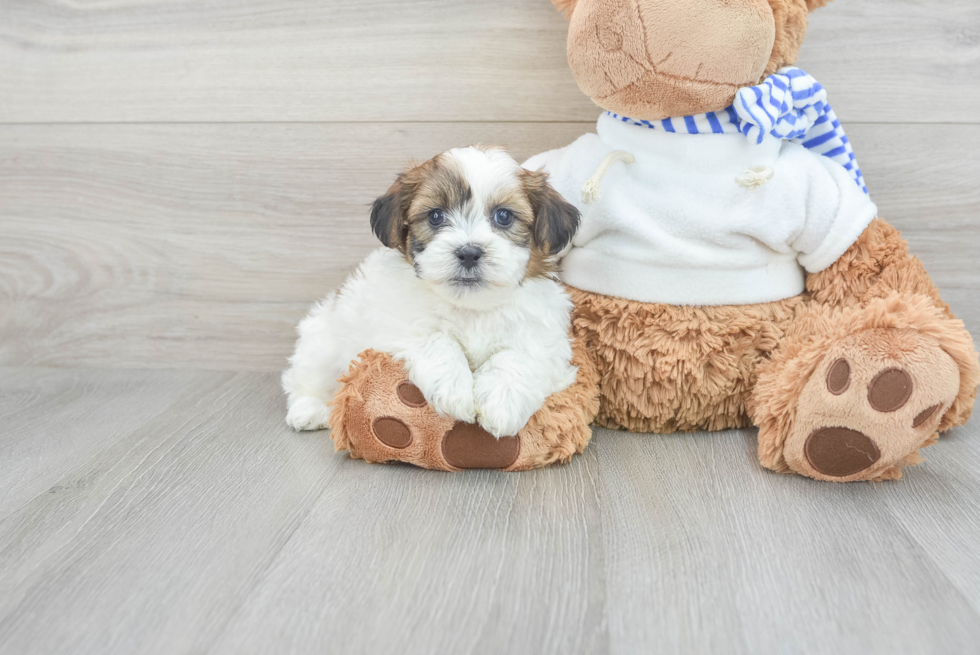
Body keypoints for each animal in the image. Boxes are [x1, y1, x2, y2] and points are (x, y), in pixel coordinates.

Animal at [280, 146, 580, 438]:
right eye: (436, 216)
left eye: (504, 216)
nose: (469, 253)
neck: (471, 307)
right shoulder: (394, 324)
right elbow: (437, 339)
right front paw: (455, 391)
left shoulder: (544, 337)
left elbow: (518, 356)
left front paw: (502, 403)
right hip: (323, 340)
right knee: (306, 378)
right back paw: (309, 409)